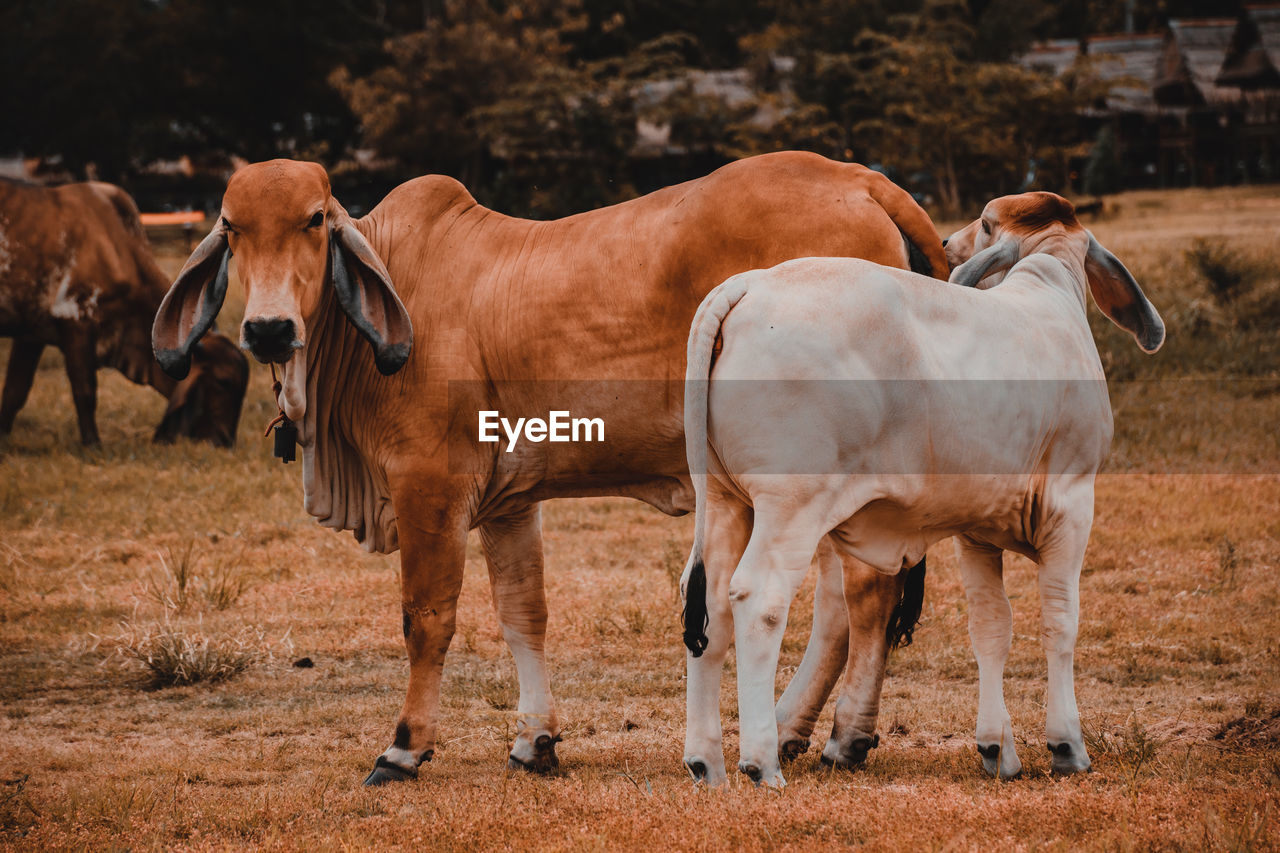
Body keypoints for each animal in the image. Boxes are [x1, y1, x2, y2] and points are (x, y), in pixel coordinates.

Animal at [0, 179, 247, 445]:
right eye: (223, 382)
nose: (225, 442)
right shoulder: (76, 320)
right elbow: (85, 391)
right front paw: (93, 443)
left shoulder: (31, 333)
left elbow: (15, 390)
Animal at [149, 151, 952, 783]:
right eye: (231, 227)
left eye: (315, 220)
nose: (268, 328)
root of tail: (862, 181)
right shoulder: (507, 502)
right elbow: (522, 614)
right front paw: (534, 740)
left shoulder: (428, 485)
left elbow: (427, 618)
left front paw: (404, 747)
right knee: (846, 605)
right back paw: (795, 732)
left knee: (863, 599)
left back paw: (838, 736)